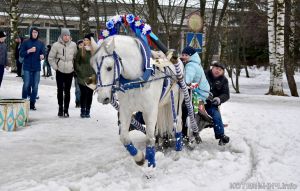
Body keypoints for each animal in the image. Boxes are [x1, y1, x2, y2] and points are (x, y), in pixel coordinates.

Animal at [89, 35, 184, 167]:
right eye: (93, 67)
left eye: (109, 68)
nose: (102, 97)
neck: (136, 80)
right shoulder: (125, 110)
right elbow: (124, 137)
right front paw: (139, 158)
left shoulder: (150, 111)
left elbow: (149, 138)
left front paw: (151, 165)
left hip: (175, 102)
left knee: (178, 125)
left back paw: (177, 154)